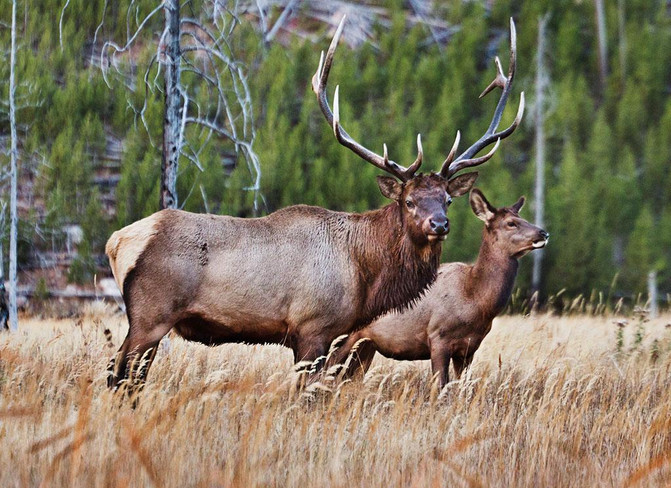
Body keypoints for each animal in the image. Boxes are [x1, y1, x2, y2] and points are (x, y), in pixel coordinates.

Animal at [106, 17, 524, 394]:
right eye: (409, 201)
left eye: (447, 199)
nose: (439, 225)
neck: (365, 272)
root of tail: (117, 241)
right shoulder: (313, 327)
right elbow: (305, 395)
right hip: (151, 314)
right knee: (123, 376)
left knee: (118, 371)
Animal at [326, 189, 552, 386]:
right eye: (511, 223)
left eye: (523, 219)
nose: (544, 233)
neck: (474, 298)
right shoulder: (438, 336)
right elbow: (441, 385)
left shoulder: (469, 348)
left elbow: (463, 387)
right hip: (344, 336)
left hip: (367, 344)